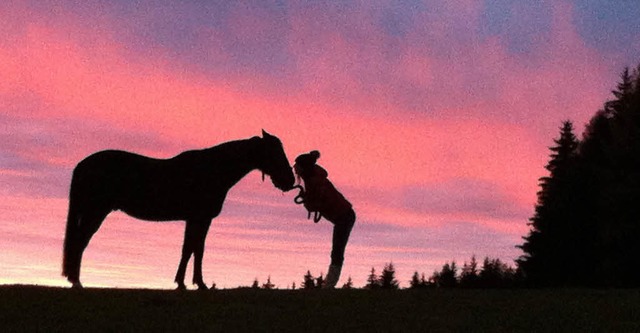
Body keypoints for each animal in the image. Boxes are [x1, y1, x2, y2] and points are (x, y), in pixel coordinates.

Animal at [62, 128, 296, 290]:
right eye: (275, 153)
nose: (289, 180)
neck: (212, 170)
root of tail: (83, 165)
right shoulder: (199, 218)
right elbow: (194, 249)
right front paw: (195, 284)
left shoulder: (196, 219)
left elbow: (192, 249)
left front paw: (187, 282)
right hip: (96, 211)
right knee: (80, 241)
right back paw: (76, 282)